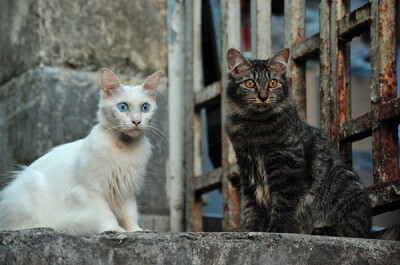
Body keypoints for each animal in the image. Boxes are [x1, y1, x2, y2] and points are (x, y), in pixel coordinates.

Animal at [0, 68, 162, 233]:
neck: (123, 148)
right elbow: (105, 214)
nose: (136, 121)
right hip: (29, 186)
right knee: (25, 225)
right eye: (123, 107)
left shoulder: (127, 193)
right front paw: (113, 229)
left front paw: (135, 231)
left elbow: (130, 214)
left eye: (145, 107)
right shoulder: (89, 191)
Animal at [225, 48, 372, 237]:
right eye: (250, 83)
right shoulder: (246, 169)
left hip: (343, 183)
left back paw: (320, 230)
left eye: (273, 83)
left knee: (353, 229)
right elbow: (251, 207)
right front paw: (251, 230)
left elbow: (282, 205)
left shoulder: (288, 167)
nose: (263, 97)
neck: (255, 126)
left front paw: (275, 230)